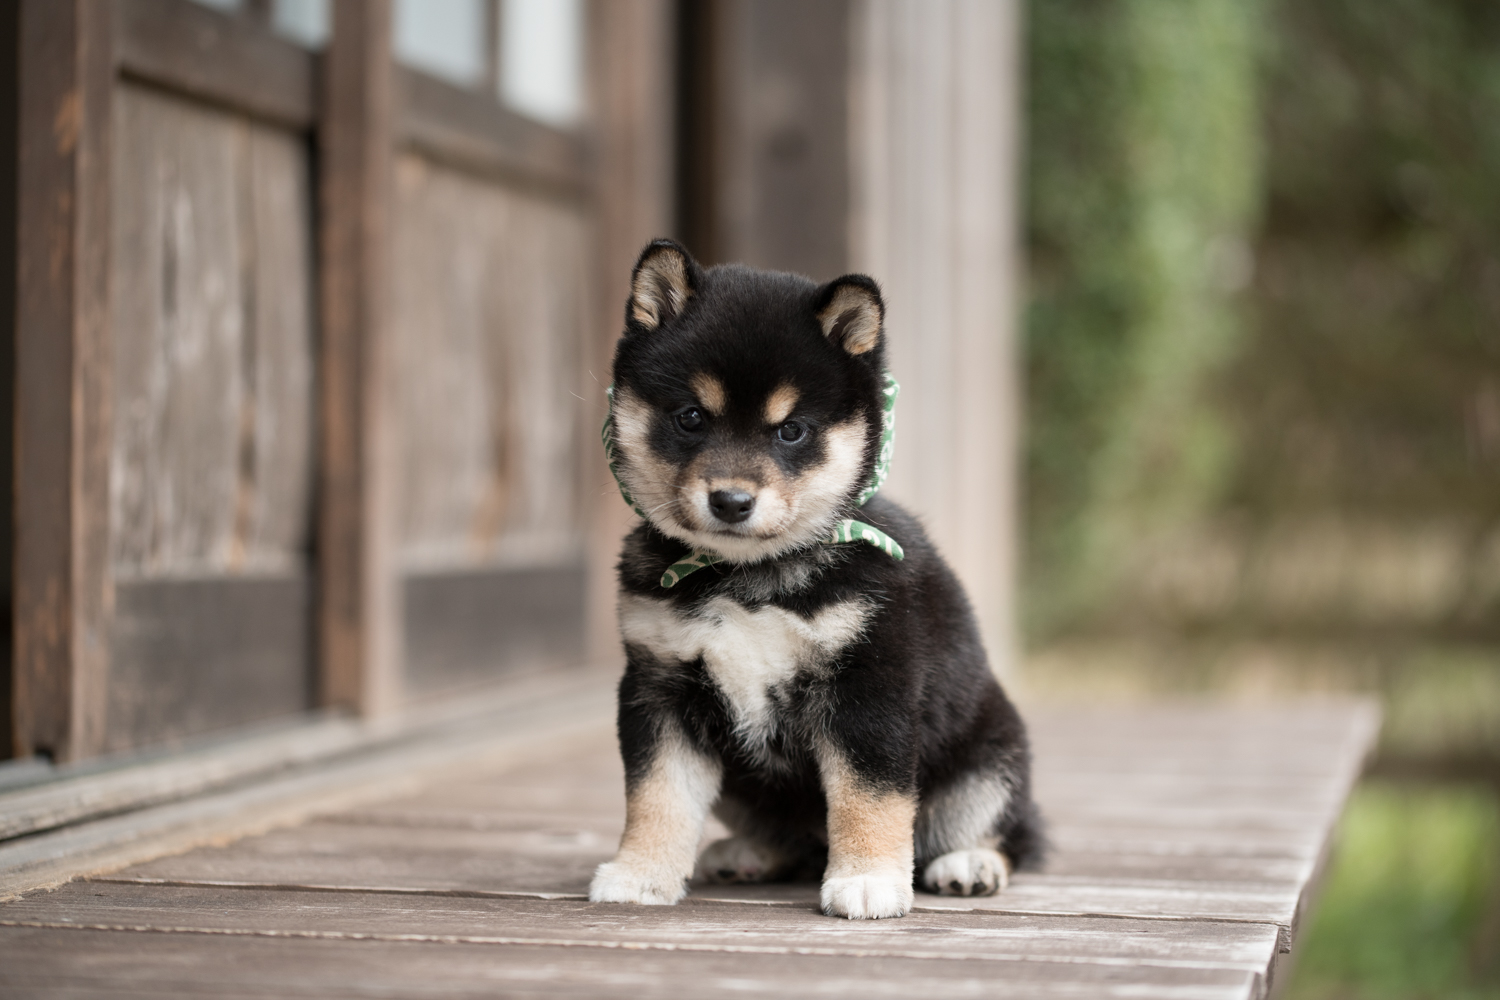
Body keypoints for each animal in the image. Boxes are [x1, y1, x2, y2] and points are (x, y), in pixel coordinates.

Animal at [588, 238, 1044, 917]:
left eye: (791, 430)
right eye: (691, 417)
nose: (731, 501)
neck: (746, 576)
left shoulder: (867, 687)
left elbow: (868, 798)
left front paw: (867, 880)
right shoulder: (659, 687)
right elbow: (657, 796)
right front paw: (640, 873)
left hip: (992, 756)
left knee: (1008, 830)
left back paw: (971, 863)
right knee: (793, 840)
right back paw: (748, 853)